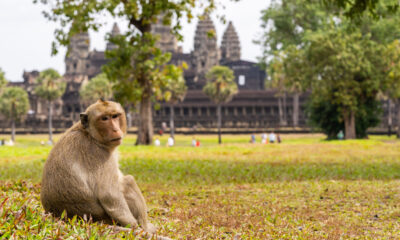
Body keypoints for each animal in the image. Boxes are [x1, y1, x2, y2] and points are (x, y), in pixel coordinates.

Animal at [41, 99, 158, 234]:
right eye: (104, 119)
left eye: (115, 116)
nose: (115, 129)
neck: (89, 134)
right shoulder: (98, 154)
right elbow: (108, 194)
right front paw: (136, 227)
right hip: (106, 218)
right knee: (127, 181)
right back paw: (145, 227)